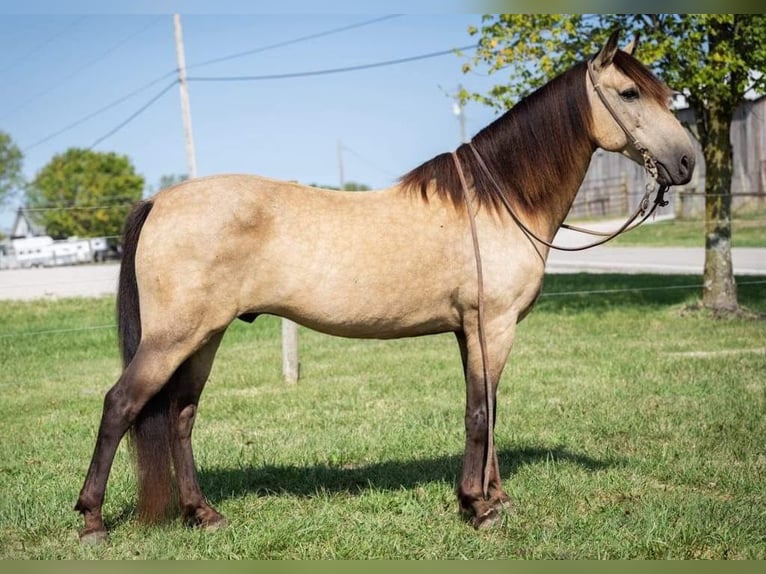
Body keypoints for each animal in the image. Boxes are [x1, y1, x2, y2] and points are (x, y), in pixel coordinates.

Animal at [74, 30, 694, 542]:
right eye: (629, 93)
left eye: (664, 94)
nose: (687, 162)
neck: (498, 202)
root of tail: (160, 200)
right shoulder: (492, 326)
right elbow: (479, 411)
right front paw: (477, 507)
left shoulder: (471, 331)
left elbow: (488, 409)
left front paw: (494, 499)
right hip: (173, 338)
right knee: (120, 405)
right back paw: (92, 521)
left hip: (205, 337)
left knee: (179, 416)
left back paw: (203, 514)